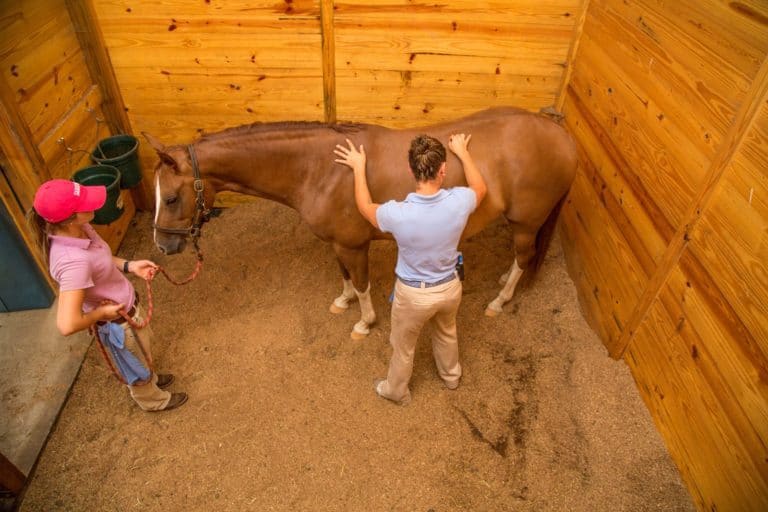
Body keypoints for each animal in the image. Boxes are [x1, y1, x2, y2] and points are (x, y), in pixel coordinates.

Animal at [143, 107, 577, 339]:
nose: (164, 245)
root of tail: (559, 133)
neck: (322, 166)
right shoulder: (339, 243)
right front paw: (344, 300)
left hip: (525, 221)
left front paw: (365, 323)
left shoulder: (354, 243)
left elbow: (365, 283)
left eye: (173, 197)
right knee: (520, 259)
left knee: (525, 256)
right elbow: (346, 277)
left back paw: (499, 301)